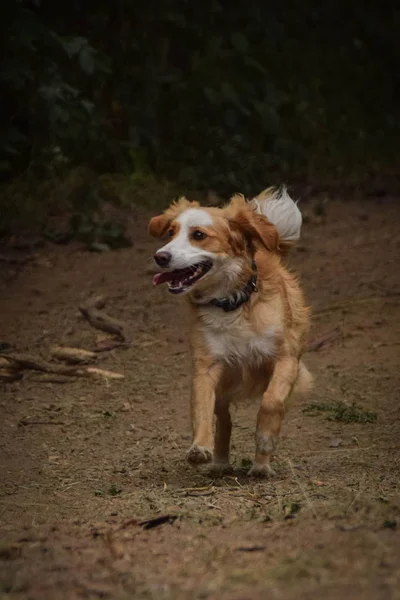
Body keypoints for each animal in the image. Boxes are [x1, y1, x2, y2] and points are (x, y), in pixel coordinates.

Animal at [148, 188, 310, 478]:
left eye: (198, 235)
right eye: (170, 232)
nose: (160, 256)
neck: (231, 303)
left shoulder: (286, 359)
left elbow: (271, 401)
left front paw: (265, 440)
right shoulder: (207, 367)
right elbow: (201, 410)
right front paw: (199, 447)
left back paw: (261, 466)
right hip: (224, 385)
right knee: (223, 419)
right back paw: (220, 461)